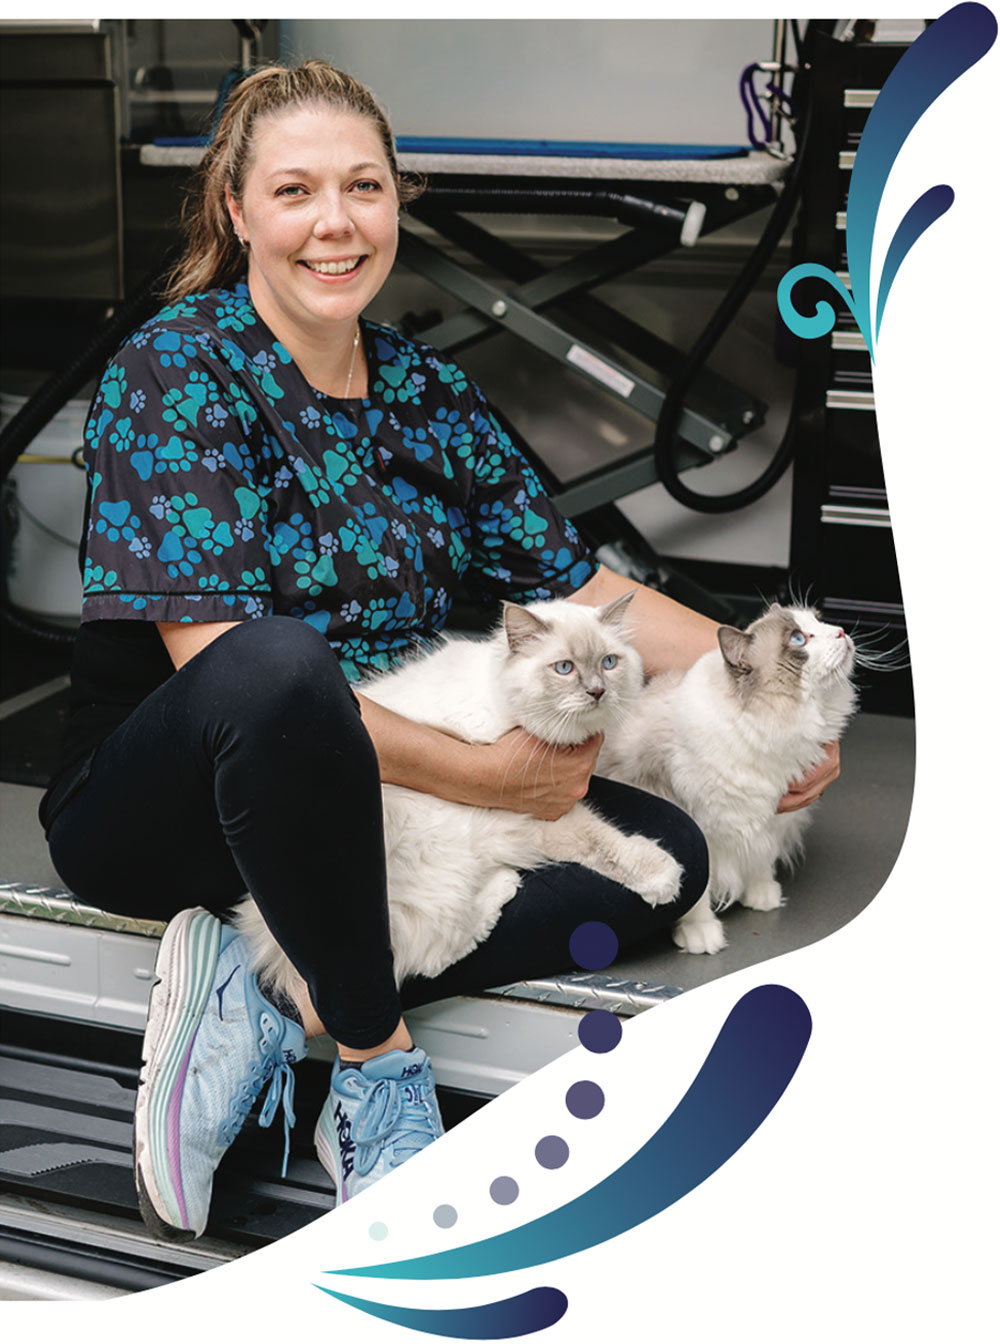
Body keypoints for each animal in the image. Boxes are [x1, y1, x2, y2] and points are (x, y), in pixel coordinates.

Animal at [235, 594, 688, 994]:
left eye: (609, 663)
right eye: (564, 668)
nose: (597, 691)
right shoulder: (532, 805)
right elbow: (603, 840)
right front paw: (663, 878)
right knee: (427, 954)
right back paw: (504, 887)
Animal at [596, 610, 854, 956]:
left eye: (819, 620)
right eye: (798, 639)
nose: (841, 632)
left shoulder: (770, 819)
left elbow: (762, 858)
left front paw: (761, 895)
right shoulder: (702, 829)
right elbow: (699, 892)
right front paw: (701, 934)